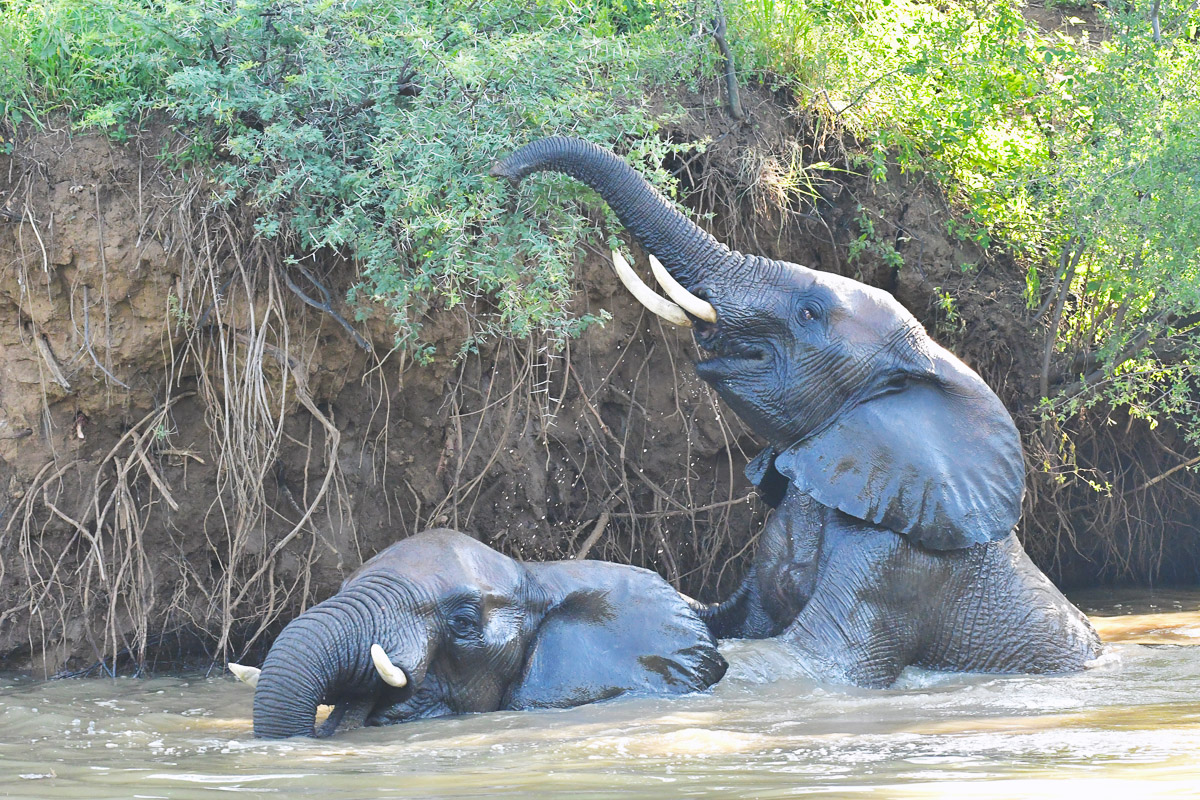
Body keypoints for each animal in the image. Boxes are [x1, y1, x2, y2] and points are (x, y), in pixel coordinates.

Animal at [491, 137, 1102, 688]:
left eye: (809, 313)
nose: (504, 174)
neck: (931, 363)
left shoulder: (900, 566)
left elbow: (809, 665)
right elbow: (732, 619)